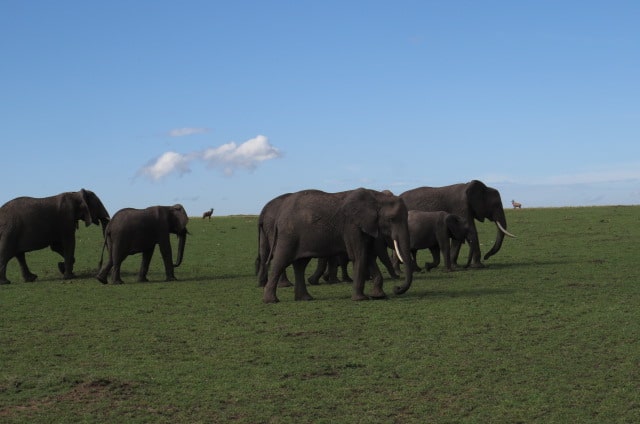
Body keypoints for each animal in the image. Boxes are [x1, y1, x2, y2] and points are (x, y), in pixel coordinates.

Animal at [263, 188, 414, 303]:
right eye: (391, 219)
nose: (397, 288)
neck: (377, 198)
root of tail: (279, 216)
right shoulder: (351, 226)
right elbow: (359, 255)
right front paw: (361, 299)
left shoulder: (367, 226)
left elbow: (369, 255)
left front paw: (378, 296)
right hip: (288, 235)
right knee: (281, 261)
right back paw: (271, 301)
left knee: (300, 265)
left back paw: (305, 298)